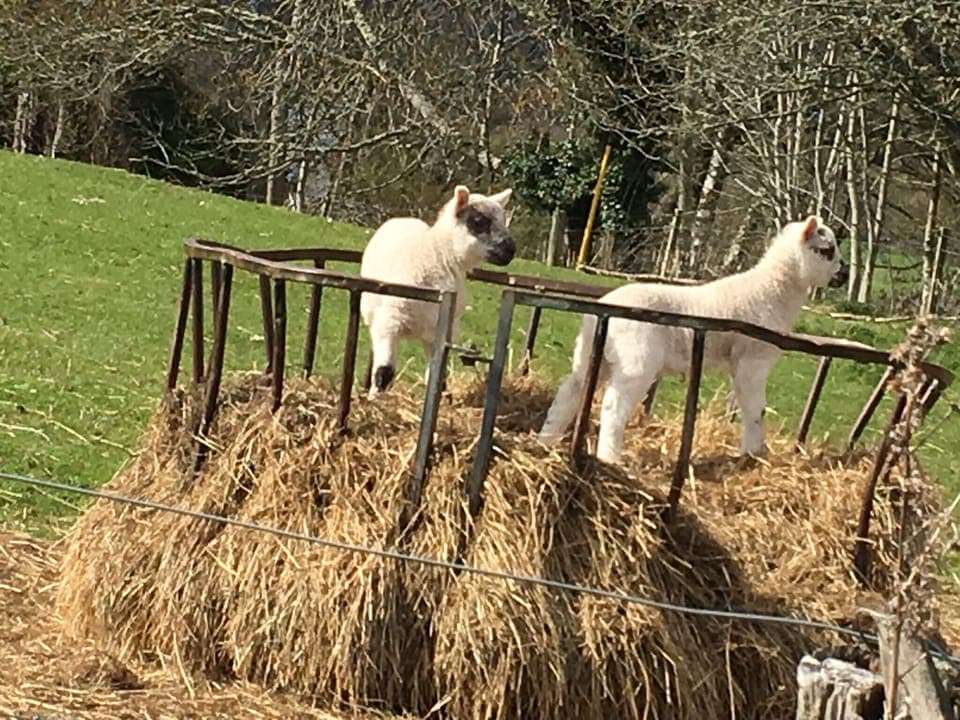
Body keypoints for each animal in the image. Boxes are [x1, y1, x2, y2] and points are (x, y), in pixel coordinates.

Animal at [360, 185, 514, 398]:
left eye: (503, 219)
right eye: (478, 221)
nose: (511, 250)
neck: (435, 256)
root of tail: (404, 218)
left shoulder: (439, 335)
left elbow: (436, 377)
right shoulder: (389, 322)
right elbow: (384, 373)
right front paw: (374, 400)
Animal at [538, 215, 848, 462]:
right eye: (827, 250)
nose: (843, 276)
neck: (772, 290)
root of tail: (601, 312)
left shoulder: (741, 364)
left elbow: (743, 405)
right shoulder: (754, 360)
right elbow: (755, 409)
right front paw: (754, 453)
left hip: (592, 353)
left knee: (570, 390)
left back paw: (546, 440)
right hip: (635, 361)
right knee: (614, 406)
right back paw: (609, 458)